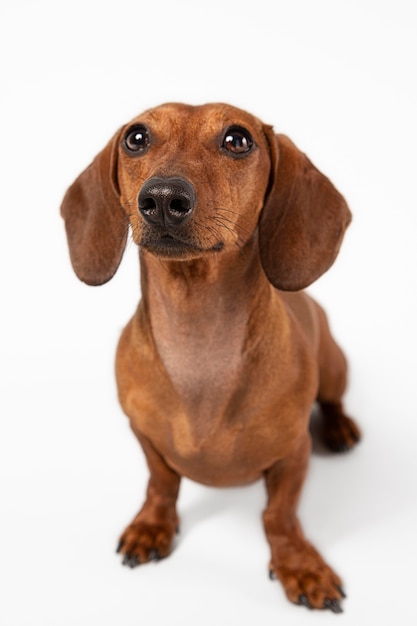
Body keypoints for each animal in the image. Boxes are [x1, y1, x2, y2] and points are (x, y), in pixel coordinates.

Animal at [60, 102, 360, 608]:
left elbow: (279, 516)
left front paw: (299, 565)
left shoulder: (293, 453)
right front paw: (152, 526)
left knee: (334, 399)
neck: (198, 344)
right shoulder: (144, 434)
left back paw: (340, 428)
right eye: (136, 138)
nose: (163, 197)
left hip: (336, 366)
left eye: (237, 140)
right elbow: (161, 483)